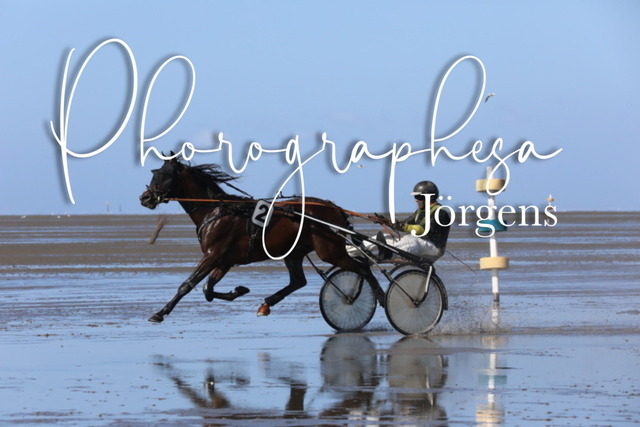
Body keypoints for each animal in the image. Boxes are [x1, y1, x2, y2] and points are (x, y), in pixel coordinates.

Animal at [139, 157, 384, 323]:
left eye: (164, 175)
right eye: (154, 173)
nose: (144, 198)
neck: (216, 211)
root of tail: (333, 207)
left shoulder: (212, 256)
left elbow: (187, 285)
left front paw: (160, 313)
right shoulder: (224, 260)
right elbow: (208, 290)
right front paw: (239, 291)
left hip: (329, 250)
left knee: (362, 267)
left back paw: (378, 297)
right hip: (294, 252)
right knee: (298, 281)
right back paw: (266, 304)